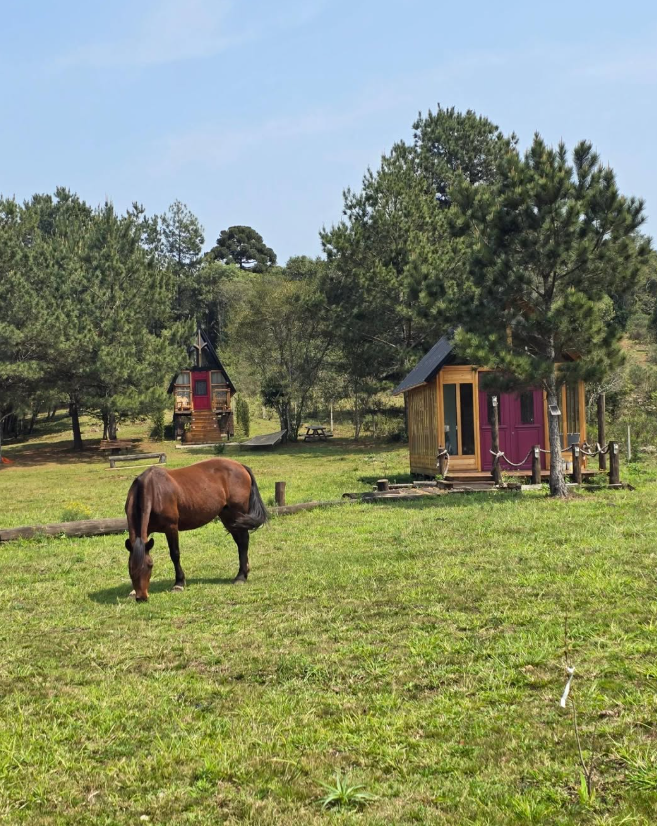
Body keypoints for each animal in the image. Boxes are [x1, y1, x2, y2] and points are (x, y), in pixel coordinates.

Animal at [124, 457, 268, 601]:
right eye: (130, 568)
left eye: (150, 565)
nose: (141, 597)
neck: (154, 490)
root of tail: (241, 466)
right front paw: (132, 591)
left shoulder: (171, 527)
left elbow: (175, 554)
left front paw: (179, 583)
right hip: (228, 517)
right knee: (240, 542)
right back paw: (244, 572)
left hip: (238, 514)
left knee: (243, 541)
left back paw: (241, 577)